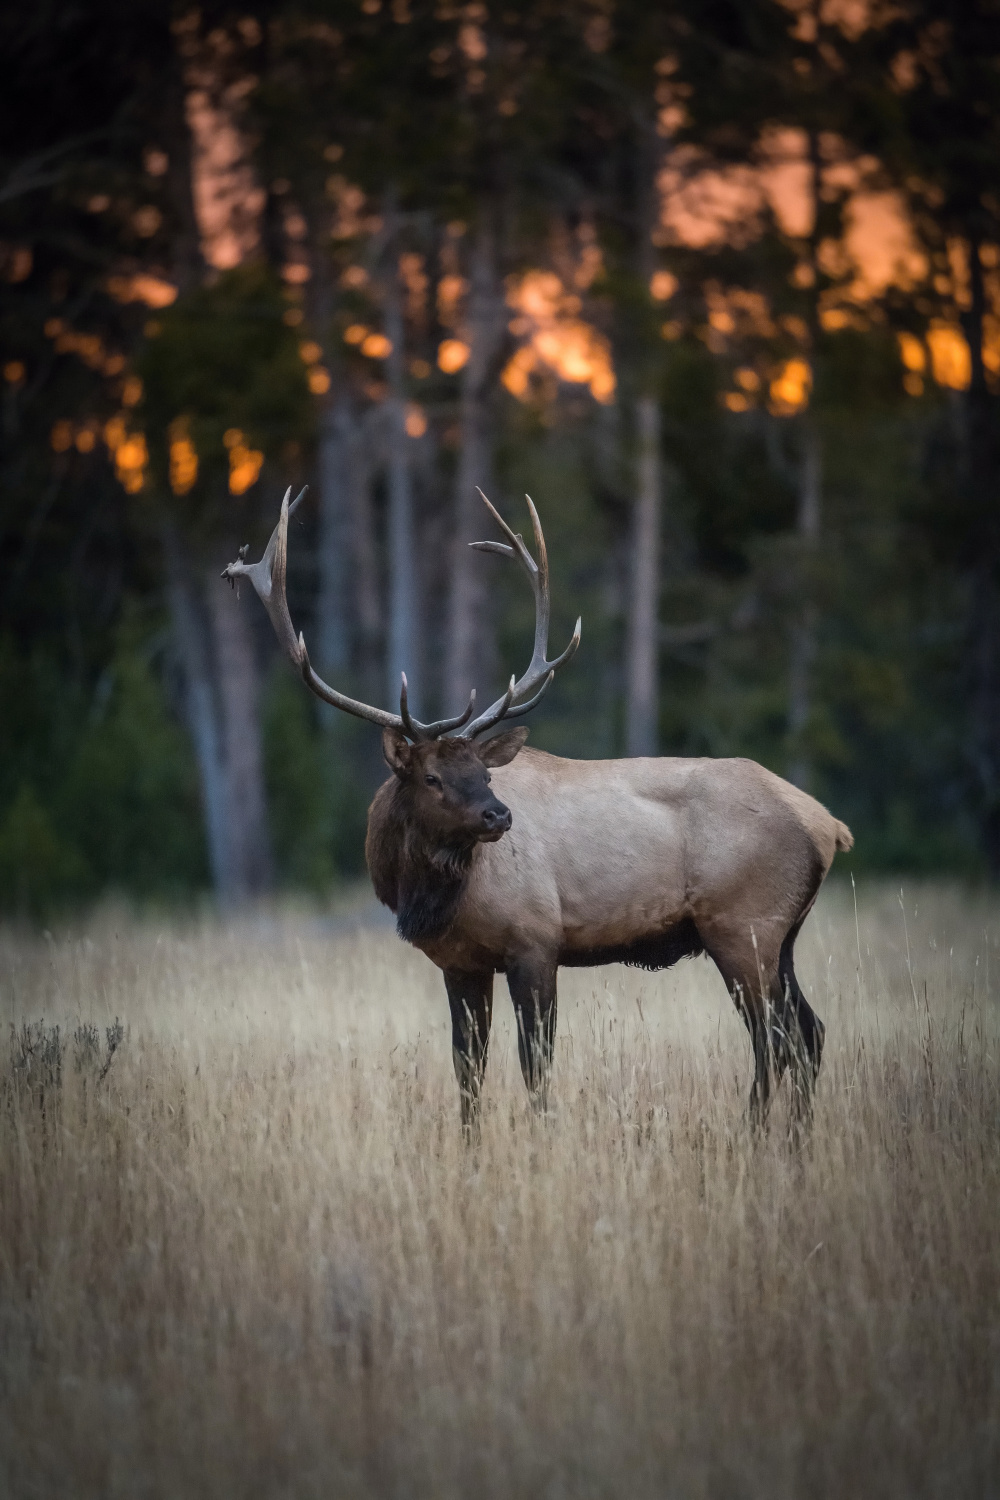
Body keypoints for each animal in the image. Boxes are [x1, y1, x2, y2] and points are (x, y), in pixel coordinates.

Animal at [224, 486, 851, 1128]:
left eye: (482, 772)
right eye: (432, 777)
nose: (499, 816)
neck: (428, 897)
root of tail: (828, 825)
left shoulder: (535, 941)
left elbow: (535, 1065)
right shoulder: (461, 963)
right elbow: (467, 1068)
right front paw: (470, 1143)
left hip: (741, 925)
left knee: (773, 1040)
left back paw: (753, 1131)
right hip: (782, 936)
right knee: (810, 1033)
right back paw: (795, 1137)